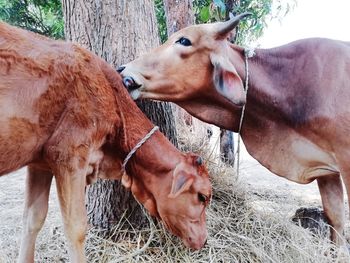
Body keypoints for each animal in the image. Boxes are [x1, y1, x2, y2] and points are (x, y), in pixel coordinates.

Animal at [0, 21, 212, 262]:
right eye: (202, 196)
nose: (204, 240)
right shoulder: (69, 155)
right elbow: (76, 228)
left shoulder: (40, 163)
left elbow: (32, 219)